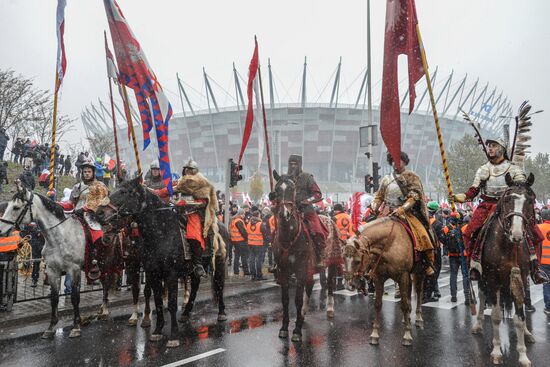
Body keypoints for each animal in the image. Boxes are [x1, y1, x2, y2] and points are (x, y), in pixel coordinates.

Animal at [0, 187, 121, 340]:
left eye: (16, 207)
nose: (1, 230)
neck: (59, 237)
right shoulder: (53, 270)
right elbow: (54, 298)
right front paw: (51, 327)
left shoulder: (74, 270)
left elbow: (75, 297)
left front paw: (76, 327)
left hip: (106, 261)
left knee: (106, 283)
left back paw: (104, 310)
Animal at [344, 218, 426, 348]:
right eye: (343, 258)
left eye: (357, 261)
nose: (349, 285)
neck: (389, 244)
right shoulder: (379, 277)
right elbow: (378, 304)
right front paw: (374, 334)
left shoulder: (403, 275)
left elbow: (404, 304)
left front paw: (407, 335)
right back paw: (407, 318)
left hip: (419, 272)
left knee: (419, 291)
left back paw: (418, 318)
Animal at [470, 173, 540, 367]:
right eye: (507, 199)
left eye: (530, 200)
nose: (517, 234)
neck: (507, 246)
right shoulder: (492, 279)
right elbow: (495, 316)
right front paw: (496, 351)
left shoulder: (520, 276)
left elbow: (519, 317)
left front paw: (523, 355)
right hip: (482, 278)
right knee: (482, 297)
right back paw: (478, 324)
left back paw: (528, 334)